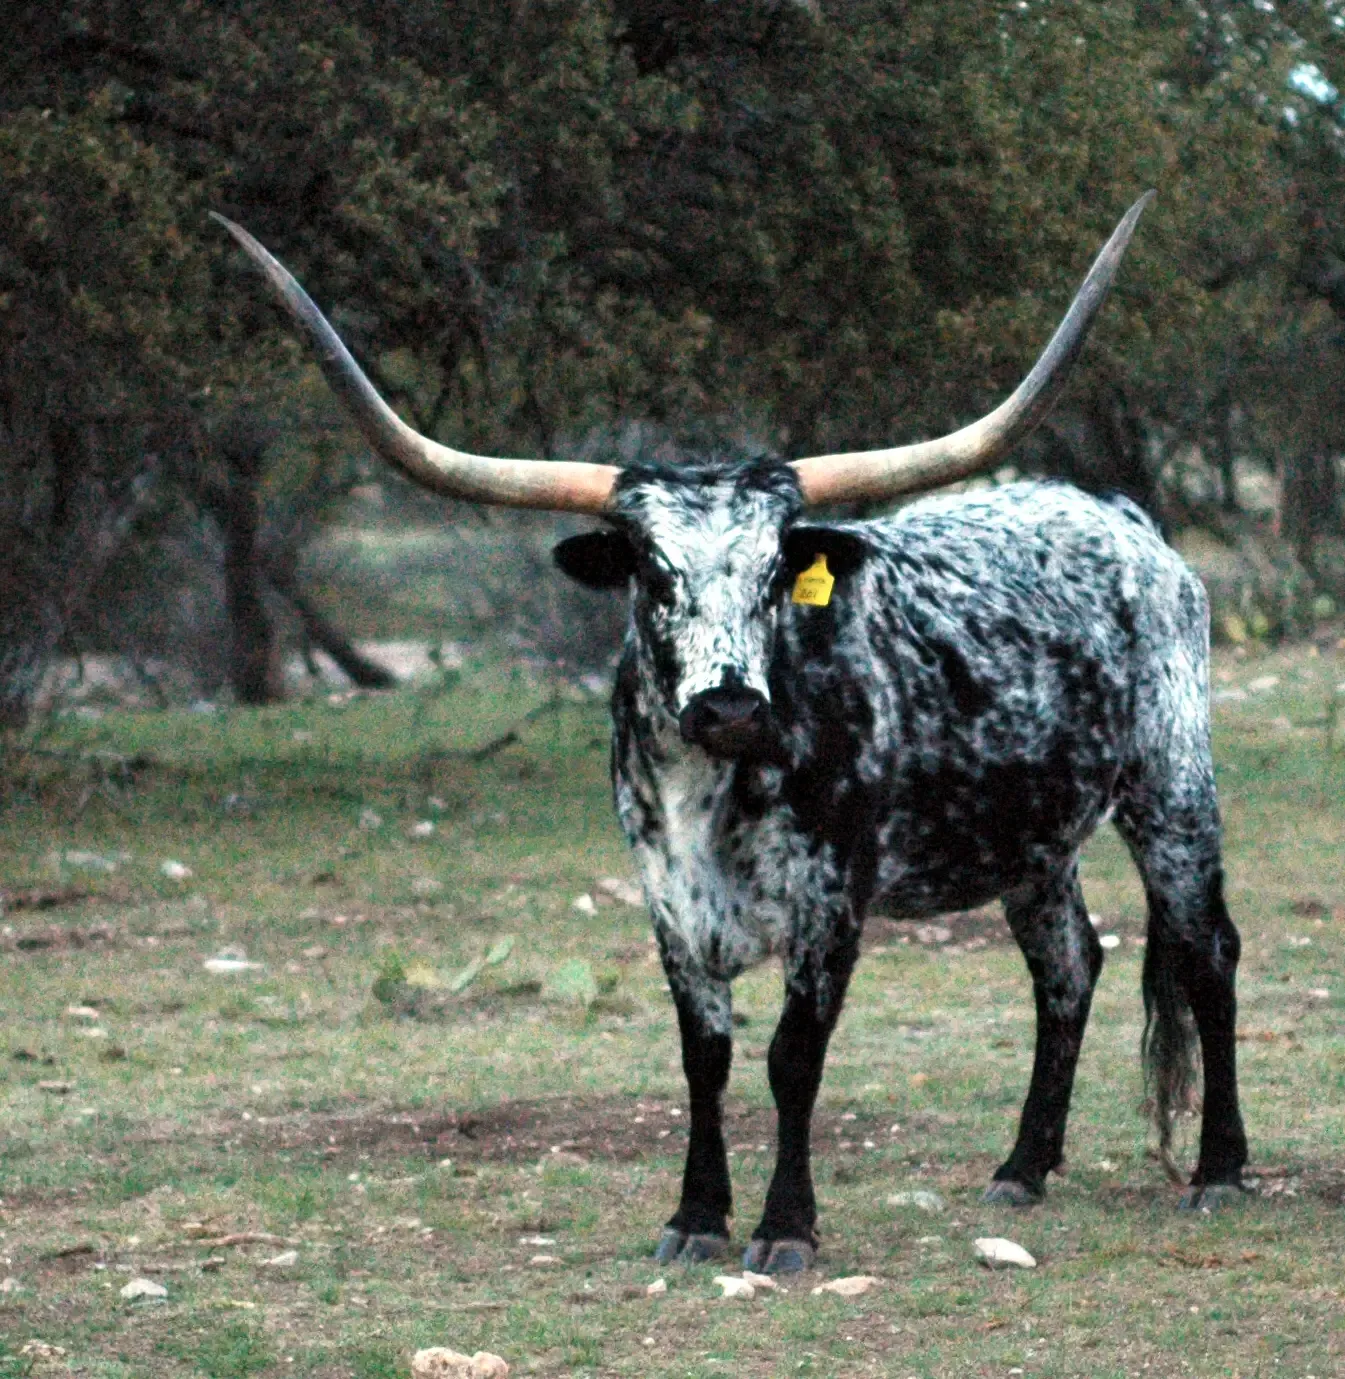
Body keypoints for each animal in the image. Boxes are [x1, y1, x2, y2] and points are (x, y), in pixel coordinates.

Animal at [215, 190, 1248, 1273]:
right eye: (651, 568)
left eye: (773, 571)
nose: (728, 705)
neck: (711, 790)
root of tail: (1120, 513)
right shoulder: (668, 899)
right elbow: (702, 1057)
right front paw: (696, 1216)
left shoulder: (831, 900)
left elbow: (791, 1056)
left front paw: (784, 1225)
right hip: (1029, 839)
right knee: (1067, 967)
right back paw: (1022, 1165)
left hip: (1171, 789)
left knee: (1206, 954)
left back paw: (1218, 1170)